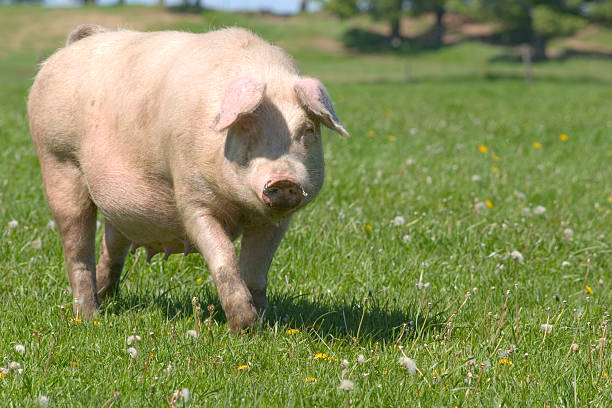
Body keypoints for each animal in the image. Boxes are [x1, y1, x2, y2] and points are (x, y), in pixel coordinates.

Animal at [28, 24, 350, 332]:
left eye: (308, 130)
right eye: (247, 127)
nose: (284, 181)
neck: (240, 208)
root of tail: (72, 46)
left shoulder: (276, 220)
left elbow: (256, 270)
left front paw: (260, 326)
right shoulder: (191, 198)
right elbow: (224, 257)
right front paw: (243, 329)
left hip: (115, 204)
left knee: (112, 244)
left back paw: (107, 300)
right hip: (57, 161)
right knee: (76, 245)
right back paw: (89, 316)